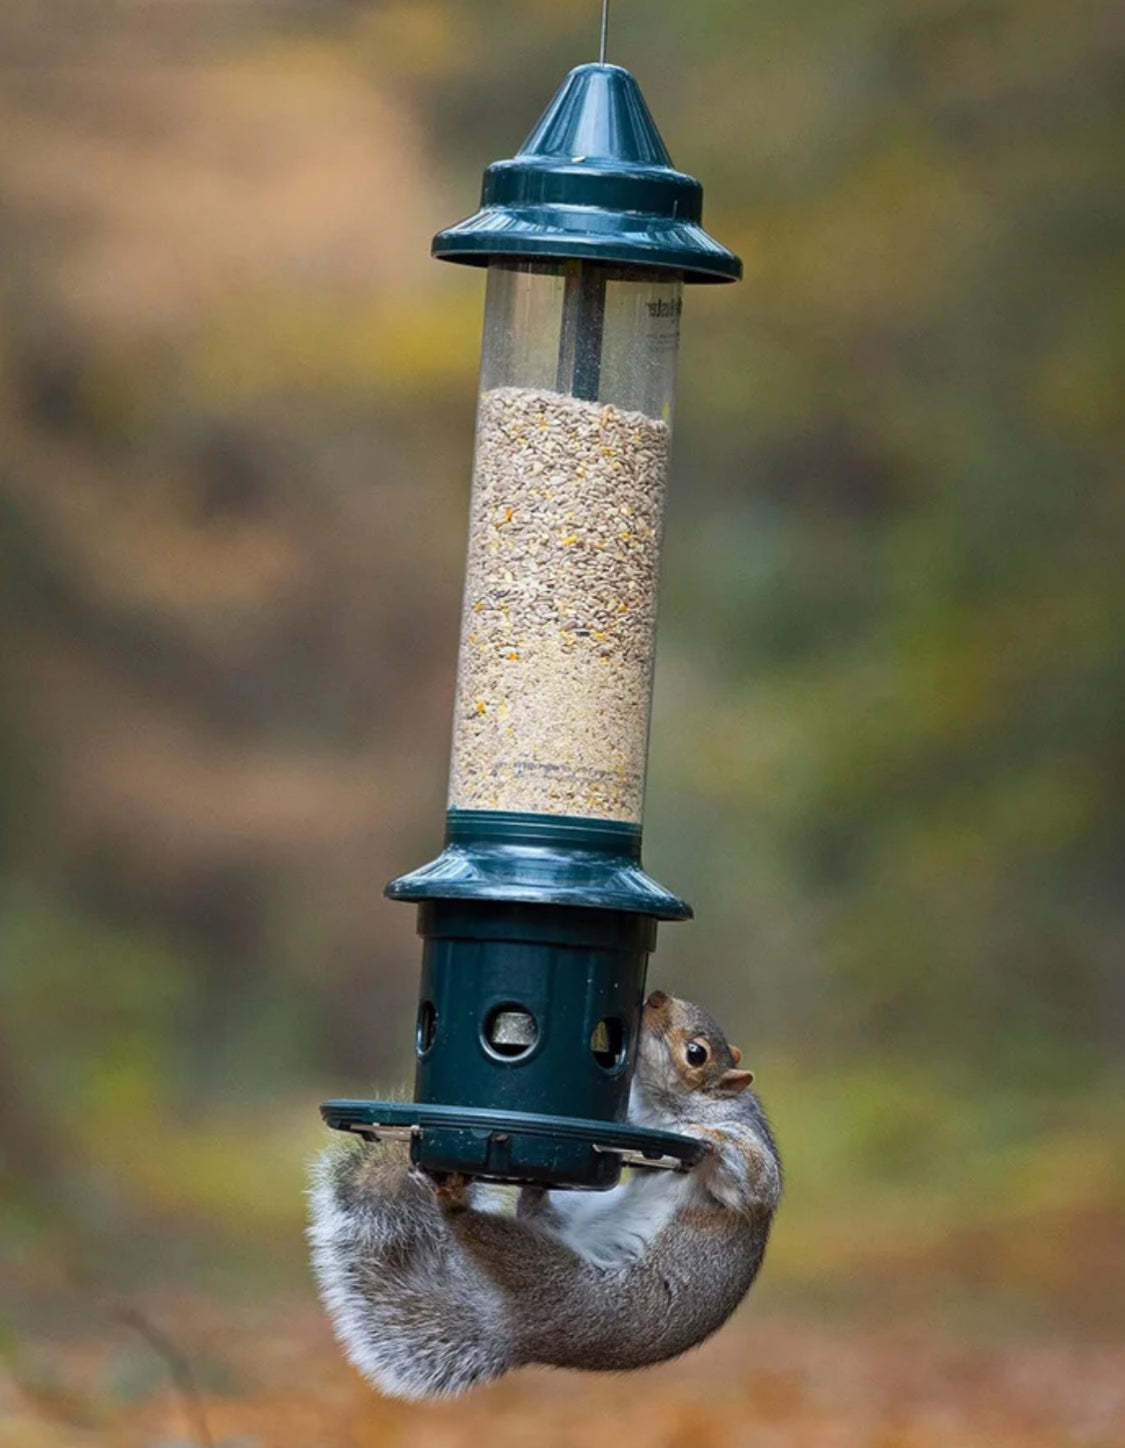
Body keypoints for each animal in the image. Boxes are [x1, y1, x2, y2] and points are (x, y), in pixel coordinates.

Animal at [308, 990, 782, 1400]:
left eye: (696, 1053)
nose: (657, 996)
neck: (670, 1106)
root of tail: (519, 1332)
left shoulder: (742, 1146)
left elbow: (754, 1180)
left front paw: (703, 1135)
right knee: (534, 1215)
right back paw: (531, 1191)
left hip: (554, 1280)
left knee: (477, 1230)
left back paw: (456, 1205)